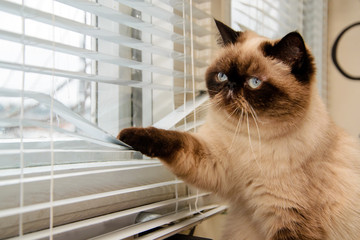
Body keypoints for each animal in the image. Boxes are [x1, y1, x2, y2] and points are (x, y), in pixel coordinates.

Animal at [119, 19, 360, 240]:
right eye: (222, 76)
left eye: (254, 82)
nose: (231, 87)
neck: (249, 137)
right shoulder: (213, 162)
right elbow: (176, 140)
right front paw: (127, 135)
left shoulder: (290, 218)